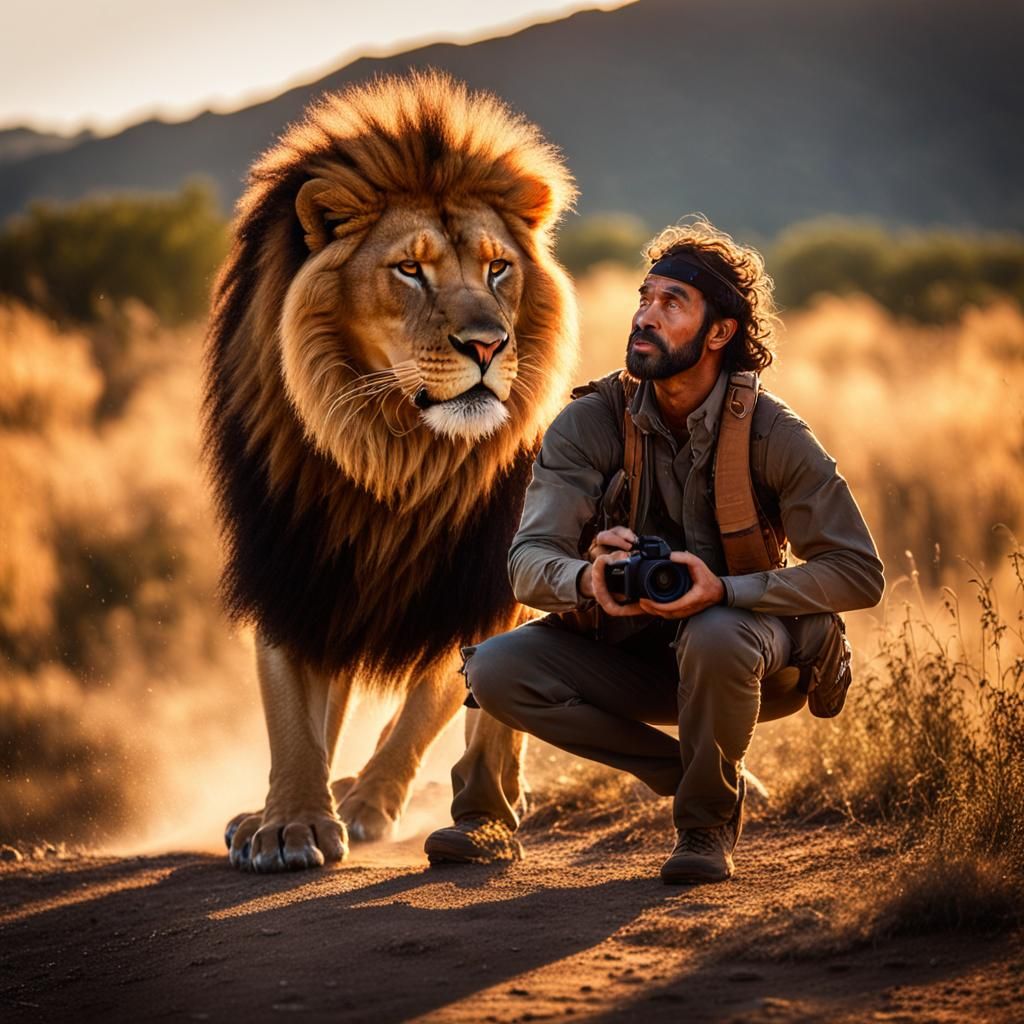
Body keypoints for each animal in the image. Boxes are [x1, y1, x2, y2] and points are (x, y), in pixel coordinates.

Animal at [203, 72, 578, 871]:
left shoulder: (480, 574)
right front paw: (289, 822)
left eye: (498, 267)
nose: (489, 345)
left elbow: (434, 704)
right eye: (409, 269)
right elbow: (290, 706)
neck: (396, 452)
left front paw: (388, 805)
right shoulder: (288, 551)